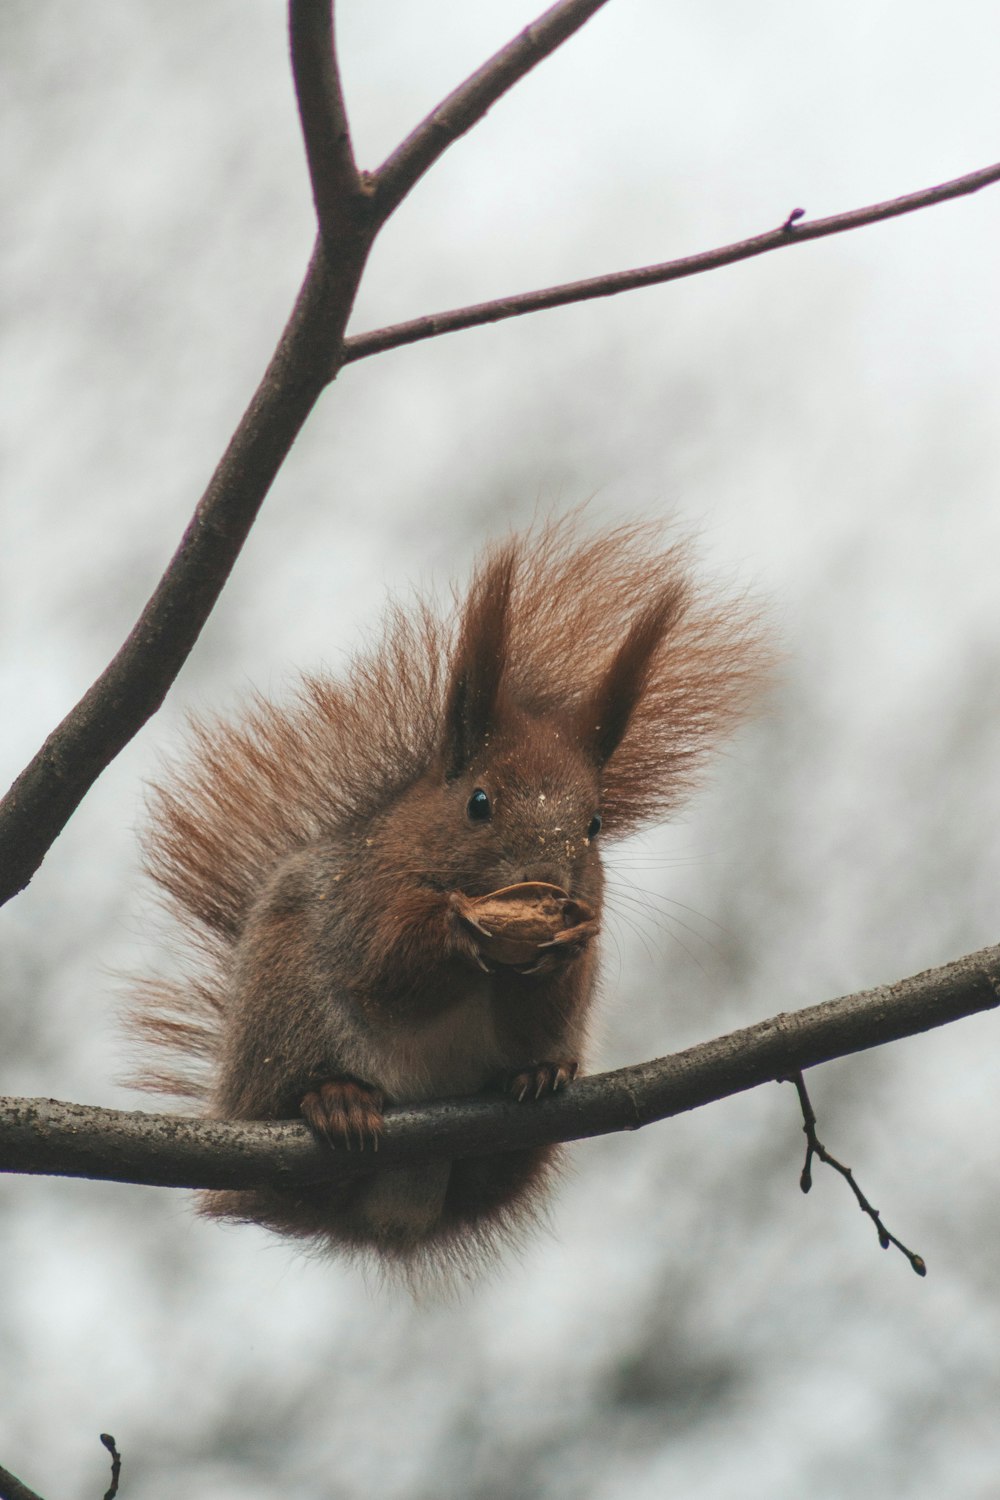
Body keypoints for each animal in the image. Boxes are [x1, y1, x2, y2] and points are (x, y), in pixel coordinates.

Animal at [125, 519, 767, 1278]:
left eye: (594, 824)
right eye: (478, 803)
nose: (550, 880)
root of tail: (396, 1214)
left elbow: (548, 997)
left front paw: (566, 947)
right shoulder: (362, 897)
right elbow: (384, 971)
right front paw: (458, 932)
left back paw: (538, 1078)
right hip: (285, 1022)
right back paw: (335, 1100)